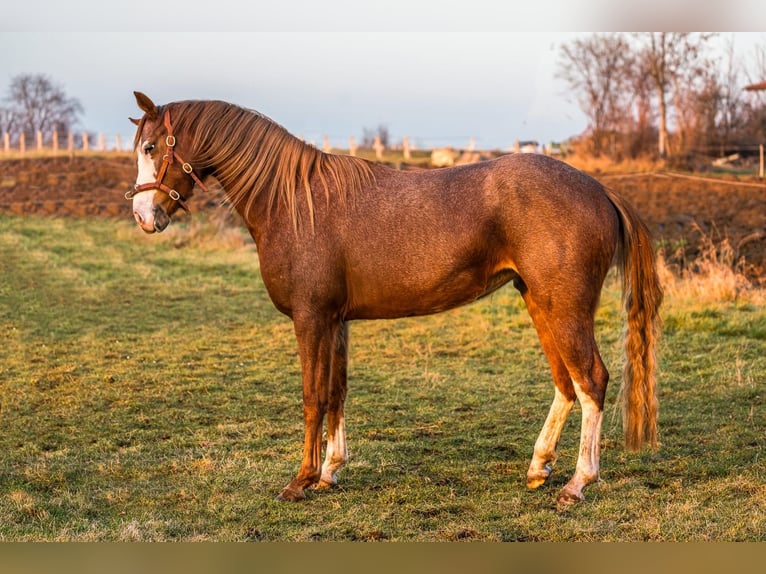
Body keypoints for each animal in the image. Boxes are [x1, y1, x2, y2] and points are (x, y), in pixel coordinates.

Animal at [127, 92, 664, 506]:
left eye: (152, 147)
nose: (143, 216)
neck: (294, 201)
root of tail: (598, 189)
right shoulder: (336, 321)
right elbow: (337, 392)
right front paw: (329, 472)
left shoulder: (311, 319)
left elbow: (312, 396)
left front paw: (301, 481)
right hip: (540, 303)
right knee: (566, 384)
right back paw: (539, 467)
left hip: (565, 308)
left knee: (591, 381)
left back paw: (577, 483)